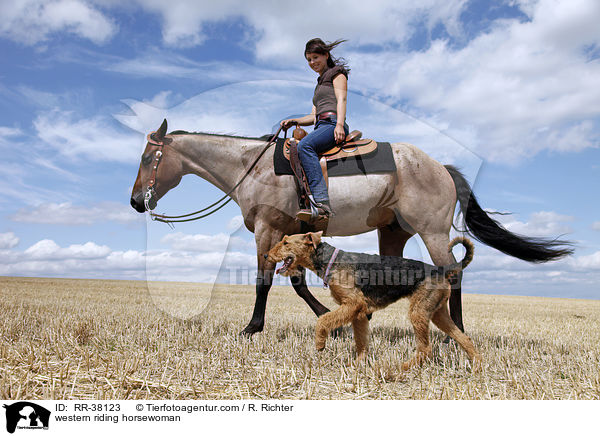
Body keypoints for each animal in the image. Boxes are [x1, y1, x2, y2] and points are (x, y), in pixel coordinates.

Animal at [130, 121, 572, 336]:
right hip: (394, 233)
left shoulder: (267, 231)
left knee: (454, 274)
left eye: (149, 158)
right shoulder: (292, 237)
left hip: (432, 232)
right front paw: (333, 318)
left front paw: (252, 328)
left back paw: (454, 332)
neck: (251, 167)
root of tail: (441, 168)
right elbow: (297, 284)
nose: (135, 201)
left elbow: (263, 280)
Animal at [268, 232, 482, 372]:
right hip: (437, 313)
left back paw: (403, 367)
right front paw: (358, 364)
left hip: (419, 313)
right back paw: (477, 365)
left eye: (285, 242)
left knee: (426, 349)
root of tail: (441, 269)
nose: (266, 255)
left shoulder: (353, 304)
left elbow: (323, 320)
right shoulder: (359, 312)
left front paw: (320, 343)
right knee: (463, 338)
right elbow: (361, 342)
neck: (330, 261)